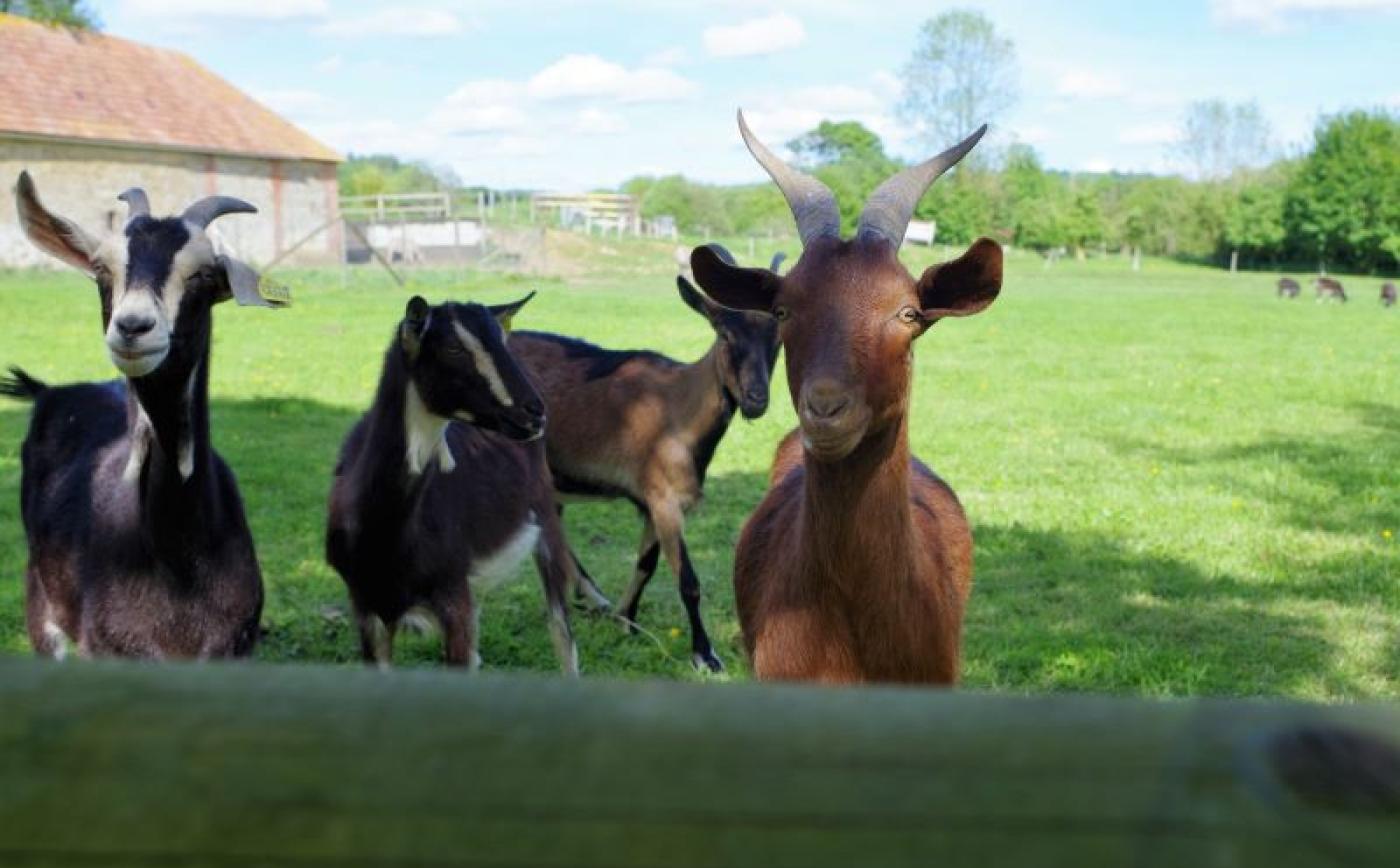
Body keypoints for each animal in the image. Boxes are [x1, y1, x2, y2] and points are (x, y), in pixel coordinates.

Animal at [0, 171, 284, 658]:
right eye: (101, 269)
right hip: (40, 598)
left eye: (205, 274)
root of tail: (52, 390)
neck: (178, 557)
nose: (133, 327)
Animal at [323, 296, 585, 672]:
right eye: (452, 348)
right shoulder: (366, 606)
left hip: (546, 518)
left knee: (561, 632)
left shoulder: (453, 596)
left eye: (500, 341)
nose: (534, 412)